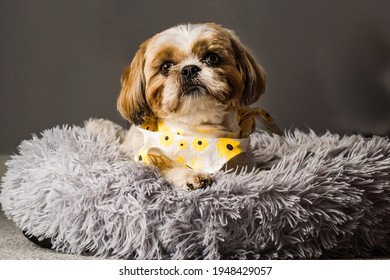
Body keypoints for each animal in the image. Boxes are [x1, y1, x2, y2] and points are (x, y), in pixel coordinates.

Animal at [86, 23, 280, 190]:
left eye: (212, 58)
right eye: (166, 66)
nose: (189, 69)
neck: (200, 132)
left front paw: (260, 176)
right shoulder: (147, 155)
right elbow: (165, 166)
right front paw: (191, 176)